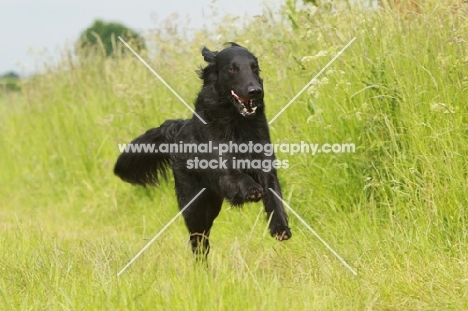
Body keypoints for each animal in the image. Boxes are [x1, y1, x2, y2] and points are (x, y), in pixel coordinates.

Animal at [115, 42, 290, 258]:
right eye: (232, 69)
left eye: (254, 67)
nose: (255, 91)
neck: (236, 123)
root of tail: (177, 129)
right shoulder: (223, 169)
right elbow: (239, 176)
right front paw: (252, 189)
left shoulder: (266, 164)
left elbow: (274, 196)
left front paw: (280, 227)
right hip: (195, 206)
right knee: (198, 241)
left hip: (212, 203)